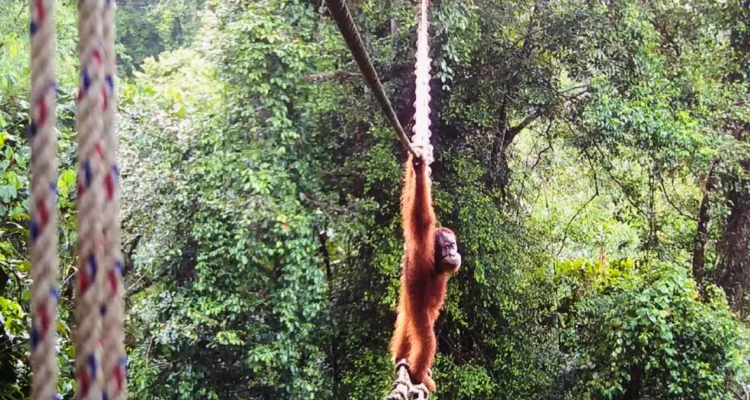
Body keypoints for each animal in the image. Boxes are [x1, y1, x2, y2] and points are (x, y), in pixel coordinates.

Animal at [389, 145, 461, 392]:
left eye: (453, 246)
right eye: (447, 247)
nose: (454, 253)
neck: (436, 263)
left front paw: (416, 166)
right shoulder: (422, 245)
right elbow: (421, 217)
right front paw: (420, 170)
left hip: (408, 309)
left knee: (405, 325)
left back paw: (400, 359)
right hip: (417, 312)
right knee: (427, 340)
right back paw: (418, 374)